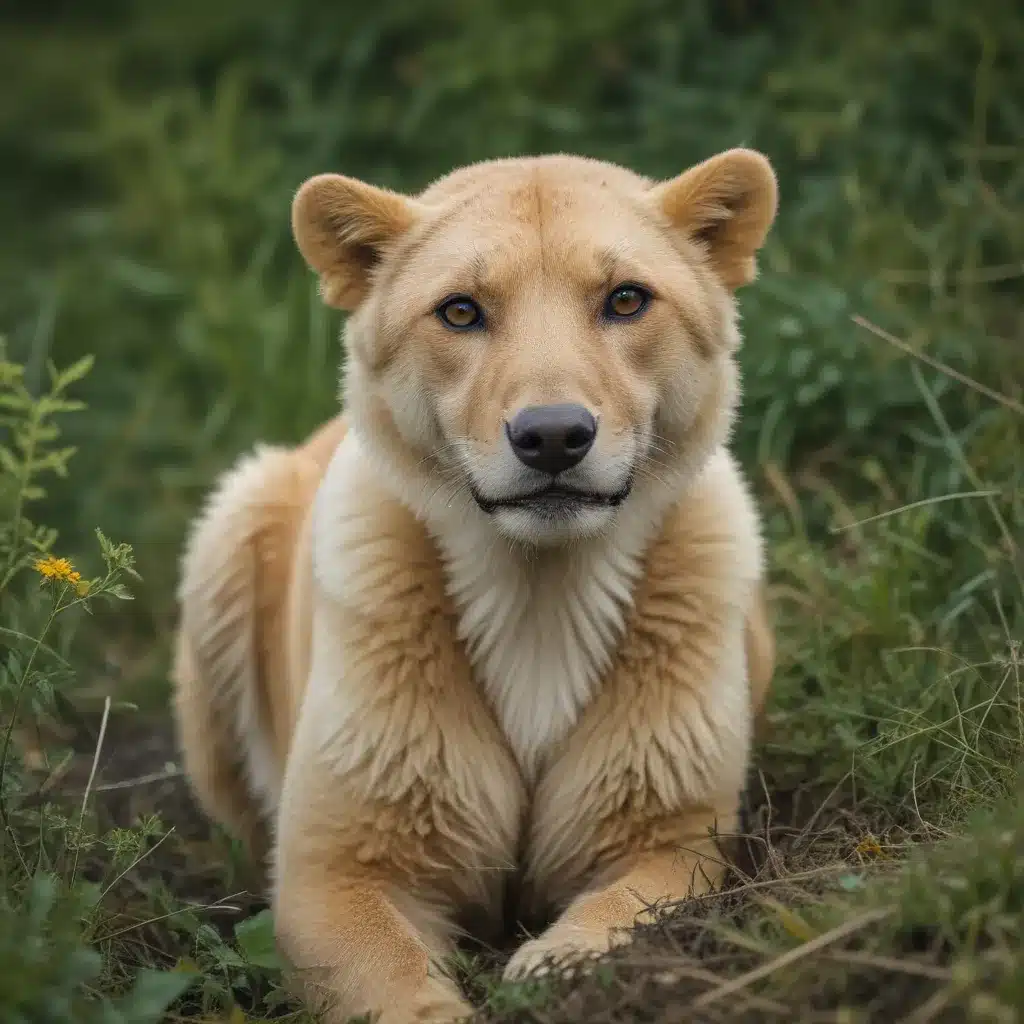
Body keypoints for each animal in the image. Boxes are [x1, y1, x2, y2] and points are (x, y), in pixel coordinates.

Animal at [174, 149, 774, 1024]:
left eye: (626, 299)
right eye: (460, 311)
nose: (552, 436)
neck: (539, 592)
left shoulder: (676, 841)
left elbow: (612, 920)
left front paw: (550, 972)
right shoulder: (332, 875)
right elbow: (398, 989)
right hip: (233, 516)